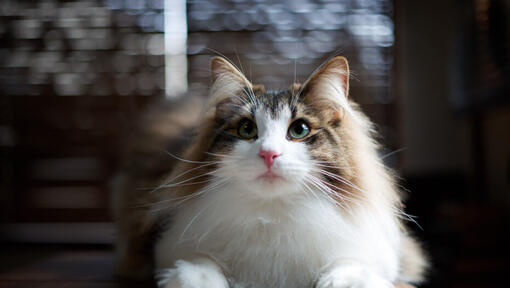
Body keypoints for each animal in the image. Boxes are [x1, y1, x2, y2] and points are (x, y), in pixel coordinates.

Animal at [113, 56, 428, 288]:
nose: (269, 154)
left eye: (299, 130)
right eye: (246, 129)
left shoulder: (380, 254)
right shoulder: (164, 246)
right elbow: (200, 268)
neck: (275, 213)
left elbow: (350, 267)